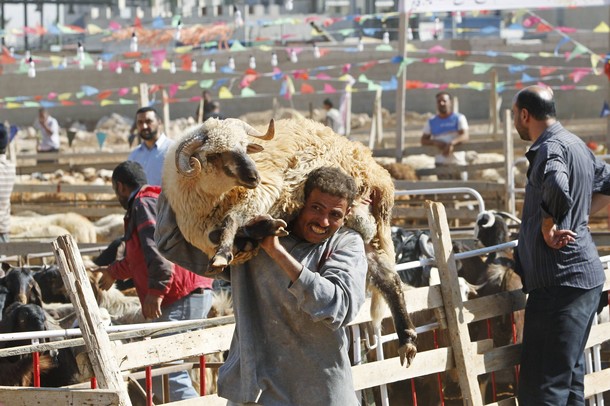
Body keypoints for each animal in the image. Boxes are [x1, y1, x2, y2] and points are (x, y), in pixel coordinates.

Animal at [162, 116, 418, 364]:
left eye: (245, 146)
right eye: (215, 154)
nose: (254, 176)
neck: (215, 197)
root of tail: (376, 170)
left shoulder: (264, 191)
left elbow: (231, 220)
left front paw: (225, 253)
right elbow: (221, 233)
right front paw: (250, 237)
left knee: (387, 278)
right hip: (359, 231)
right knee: (388, 278)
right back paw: (407, 338)